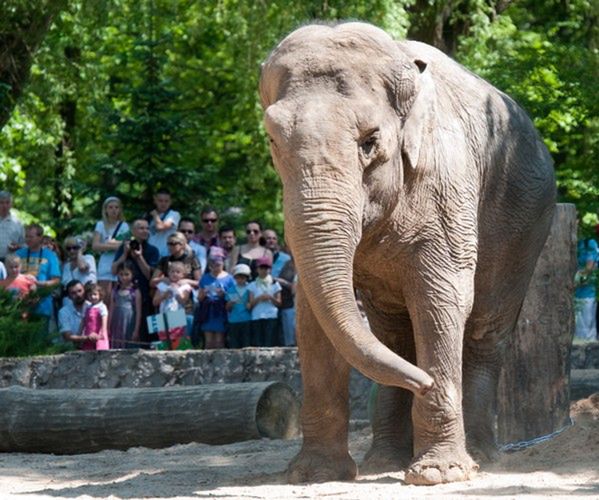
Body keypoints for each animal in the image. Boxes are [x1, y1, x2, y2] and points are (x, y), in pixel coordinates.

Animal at [260, 20, 556, 484]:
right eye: (273, 139)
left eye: (369, 141)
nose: (425, 383)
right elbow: (311, 315)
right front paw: (314, 474)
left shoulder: (447, 185)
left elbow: (442, 298)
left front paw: (439, 475)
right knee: (392, 333)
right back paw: (384, 461)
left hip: (526, 226)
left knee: (485, 330)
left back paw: (480, 459)